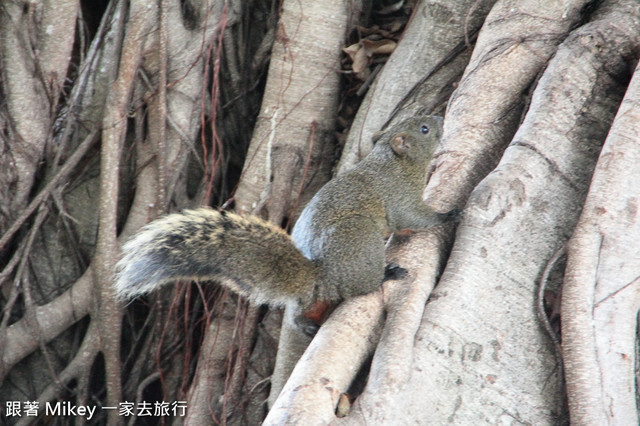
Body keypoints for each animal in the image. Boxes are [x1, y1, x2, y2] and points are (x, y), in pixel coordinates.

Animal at [115, 115, 456, 334]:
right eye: (425, 129)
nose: (440, 115)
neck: (395, 163)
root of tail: (320, 277)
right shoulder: (397, 196)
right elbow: (411, 218)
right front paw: (448, 215)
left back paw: (303, 323)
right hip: (357, 237)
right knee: (360, 286)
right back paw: (385, 274)